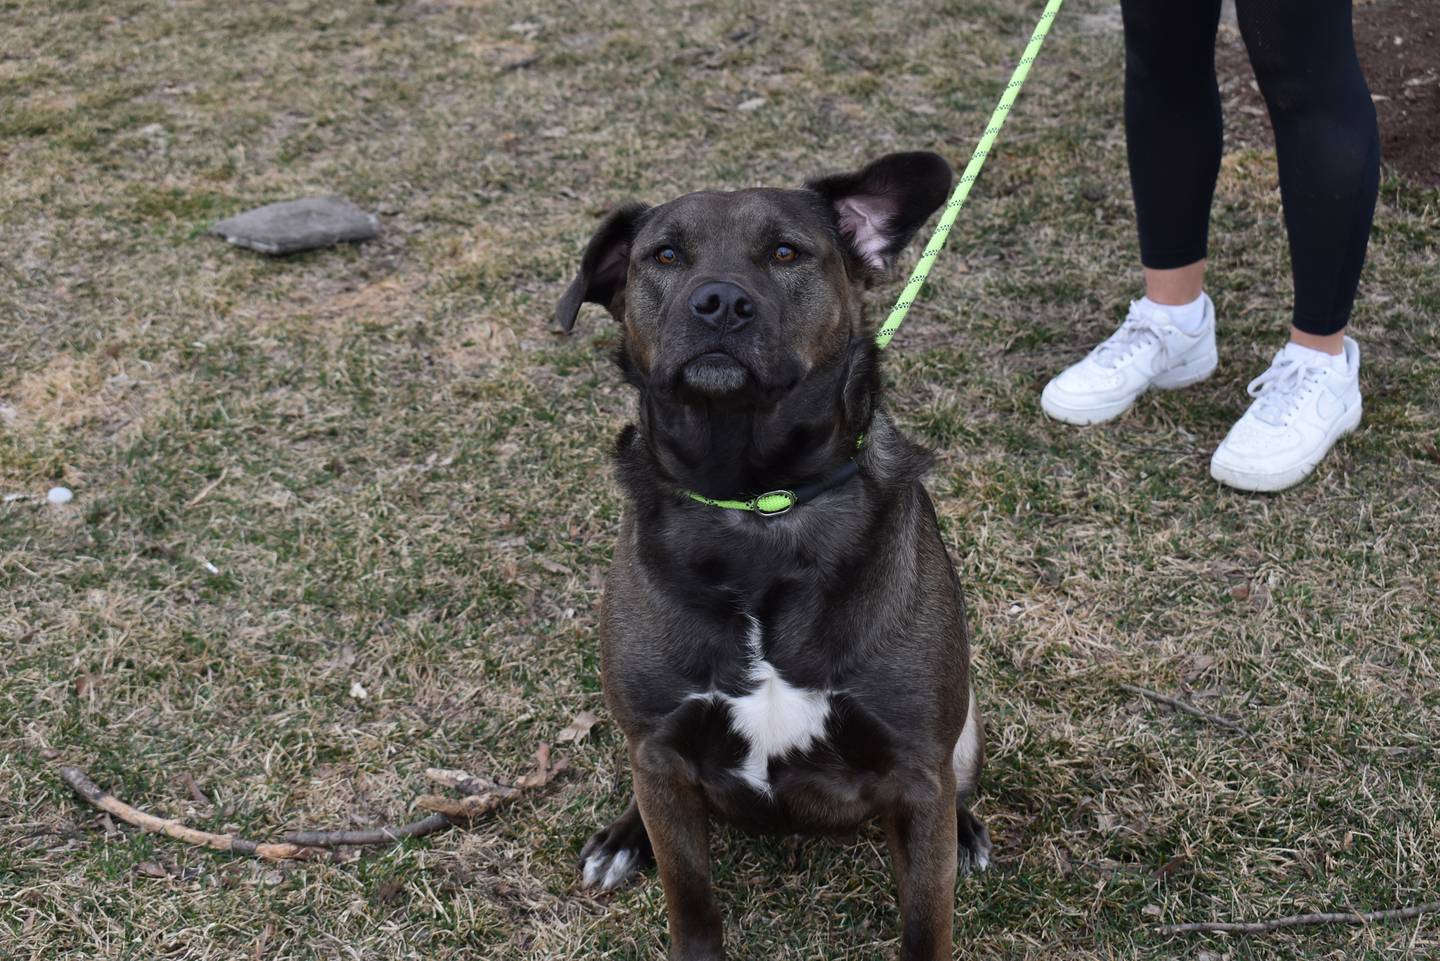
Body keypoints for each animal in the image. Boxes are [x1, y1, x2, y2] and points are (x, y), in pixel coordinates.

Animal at [554, 151, 990, 961]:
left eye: (786, 252)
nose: (720, 303)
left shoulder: (918, 773)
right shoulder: (660, 751)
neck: (756, 503)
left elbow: (926, 918)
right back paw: (623, 838)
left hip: (965, 734)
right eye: (665, 256)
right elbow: (691, 901)